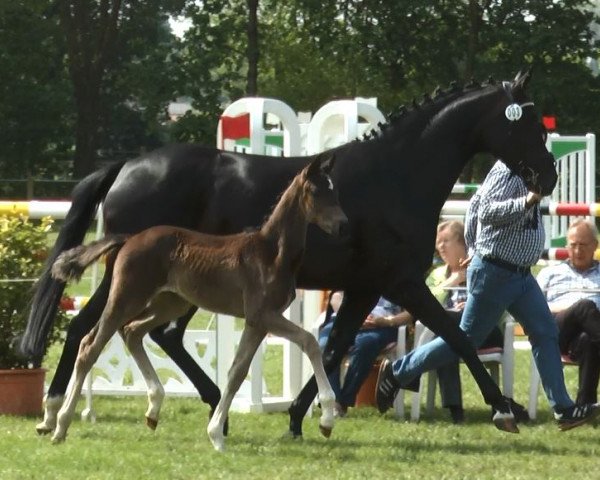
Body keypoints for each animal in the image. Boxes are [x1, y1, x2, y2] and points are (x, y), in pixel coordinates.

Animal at [50, 154, 346, 450]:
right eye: (316, 190)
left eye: (334, 190)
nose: (342, 224)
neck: (272, 253)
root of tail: (130, 238)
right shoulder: (262, 315)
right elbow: (309, 341)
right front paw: (327, 419)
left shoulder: (258, 322)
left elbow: (237, 372)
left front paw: (215, 433)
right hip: (126, 297)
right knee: (91, 346)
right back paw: (59, 425)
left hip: (170, 303)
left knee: (132, 331)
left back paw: (153, 408)